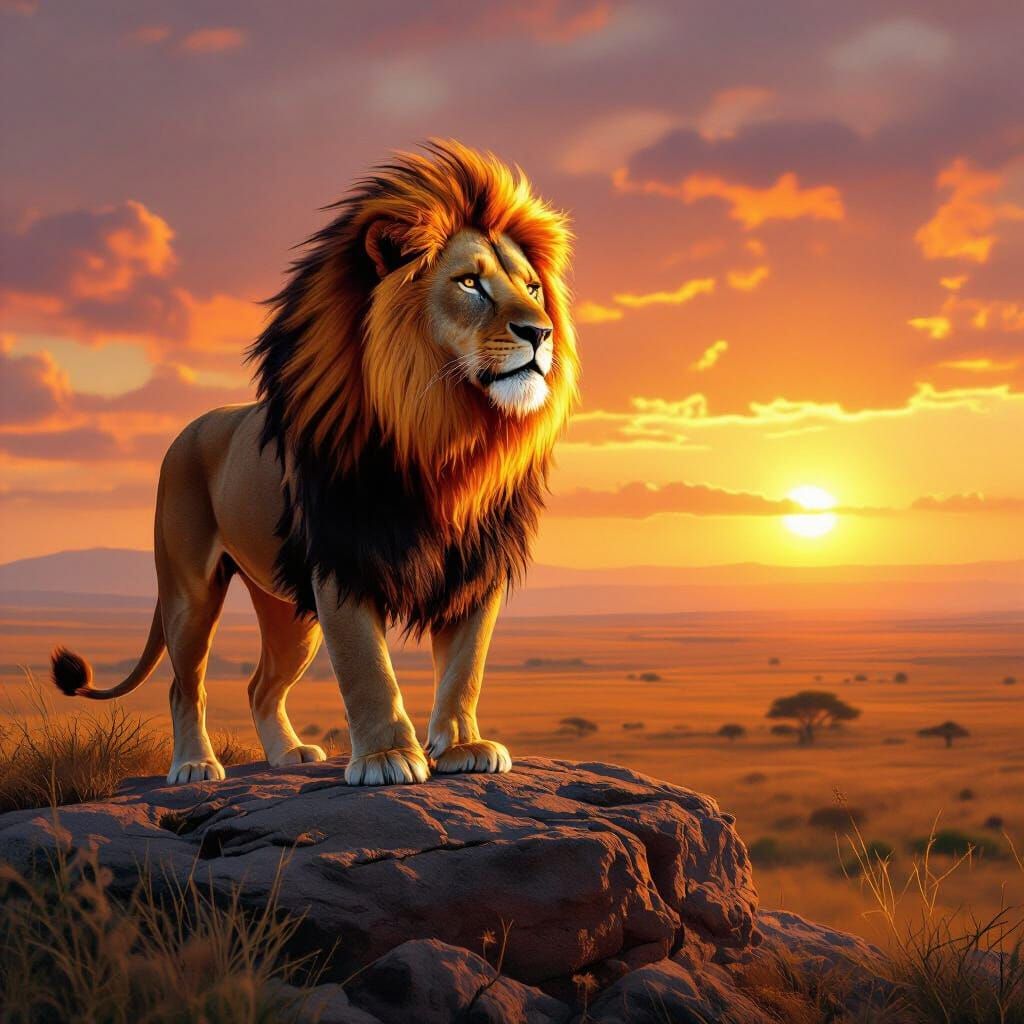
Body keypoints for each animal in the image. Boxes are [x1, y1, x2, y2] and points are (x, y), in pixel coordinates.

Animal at [51, 141, 579, 787]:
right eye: (470, 283)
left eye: (533, 288)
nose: (540, 332)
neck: (446, 438)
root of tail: (191, 429)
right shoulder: (341, 559)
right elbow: (366, 668)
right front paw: (385, 758)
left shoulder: (475, 566)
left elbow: (465, 667)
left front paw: (462, 747)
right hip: (190, 590)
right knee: (185, 685)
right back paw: (195, 765)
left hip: (287, 611)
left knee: (259, 686)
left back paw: (287, 756)